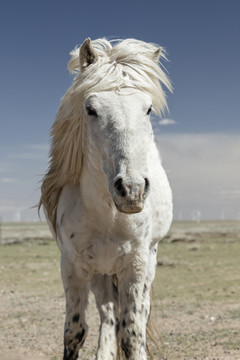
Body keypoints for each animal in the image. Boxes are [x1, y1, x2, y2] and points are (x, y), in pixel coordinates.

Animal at [40, 38, 173, 360]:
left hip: (147, 263)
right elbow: (74, 332)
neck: (108, 215)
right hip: (100, 270)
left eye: (148, 109)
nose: (132, 189)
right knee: (108, 312)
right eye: (90, 109)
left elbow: (133, 332)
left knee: (138, 313)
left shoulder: (136, 266)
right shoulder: (72, 266)